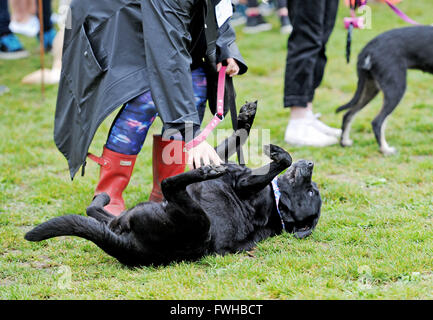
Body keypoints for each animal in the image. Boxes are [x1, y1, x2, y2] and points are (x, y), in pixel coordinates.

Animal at [24, 103, 320, 268]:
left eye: (310, 191)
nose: (311, 164)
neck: (276, 206)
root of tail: (129, 248)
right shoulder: (221, 156)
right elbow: (237, 137)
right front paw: (247, 115)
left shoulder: (245, 183)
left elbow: (279, 162)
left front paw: (278, 153)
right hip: (127, 215)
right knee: (92, 209)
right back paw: (104, 198)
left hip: (195, 218)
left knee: (168, 185)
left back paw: (203, 174)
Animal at [338, 26, 432, 154]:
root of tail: (368, 48)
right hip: (396, 87)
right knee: (377, 122)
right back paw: (385, 149)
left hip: (370, 87)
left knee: (348, 114)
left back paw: (345, 142)